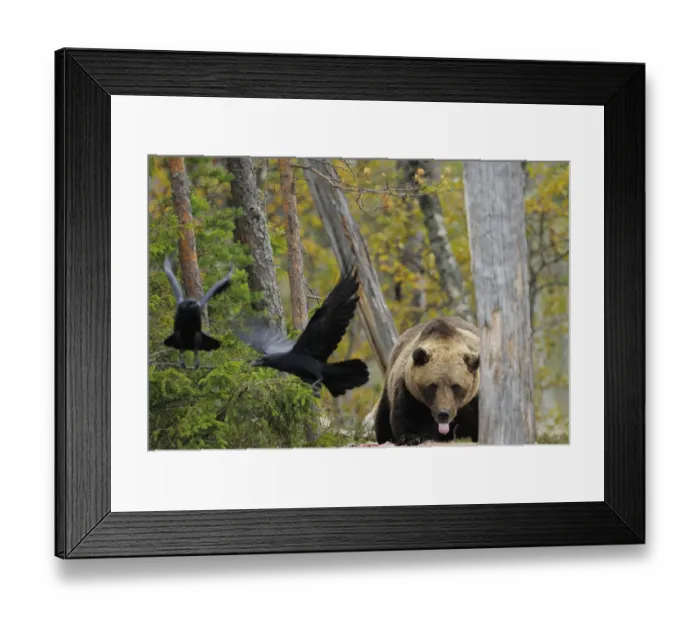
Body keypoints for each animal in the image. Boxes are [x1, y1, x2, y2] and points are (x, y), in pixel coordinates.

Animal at [370, 316, 480, 446]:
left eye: (456, 386)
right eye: (432, 385)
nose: (443, 414)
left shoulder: (475, 396)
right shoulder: (410, 391)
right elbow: (409, 415)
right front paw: (413, 437)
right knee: (382, 417)